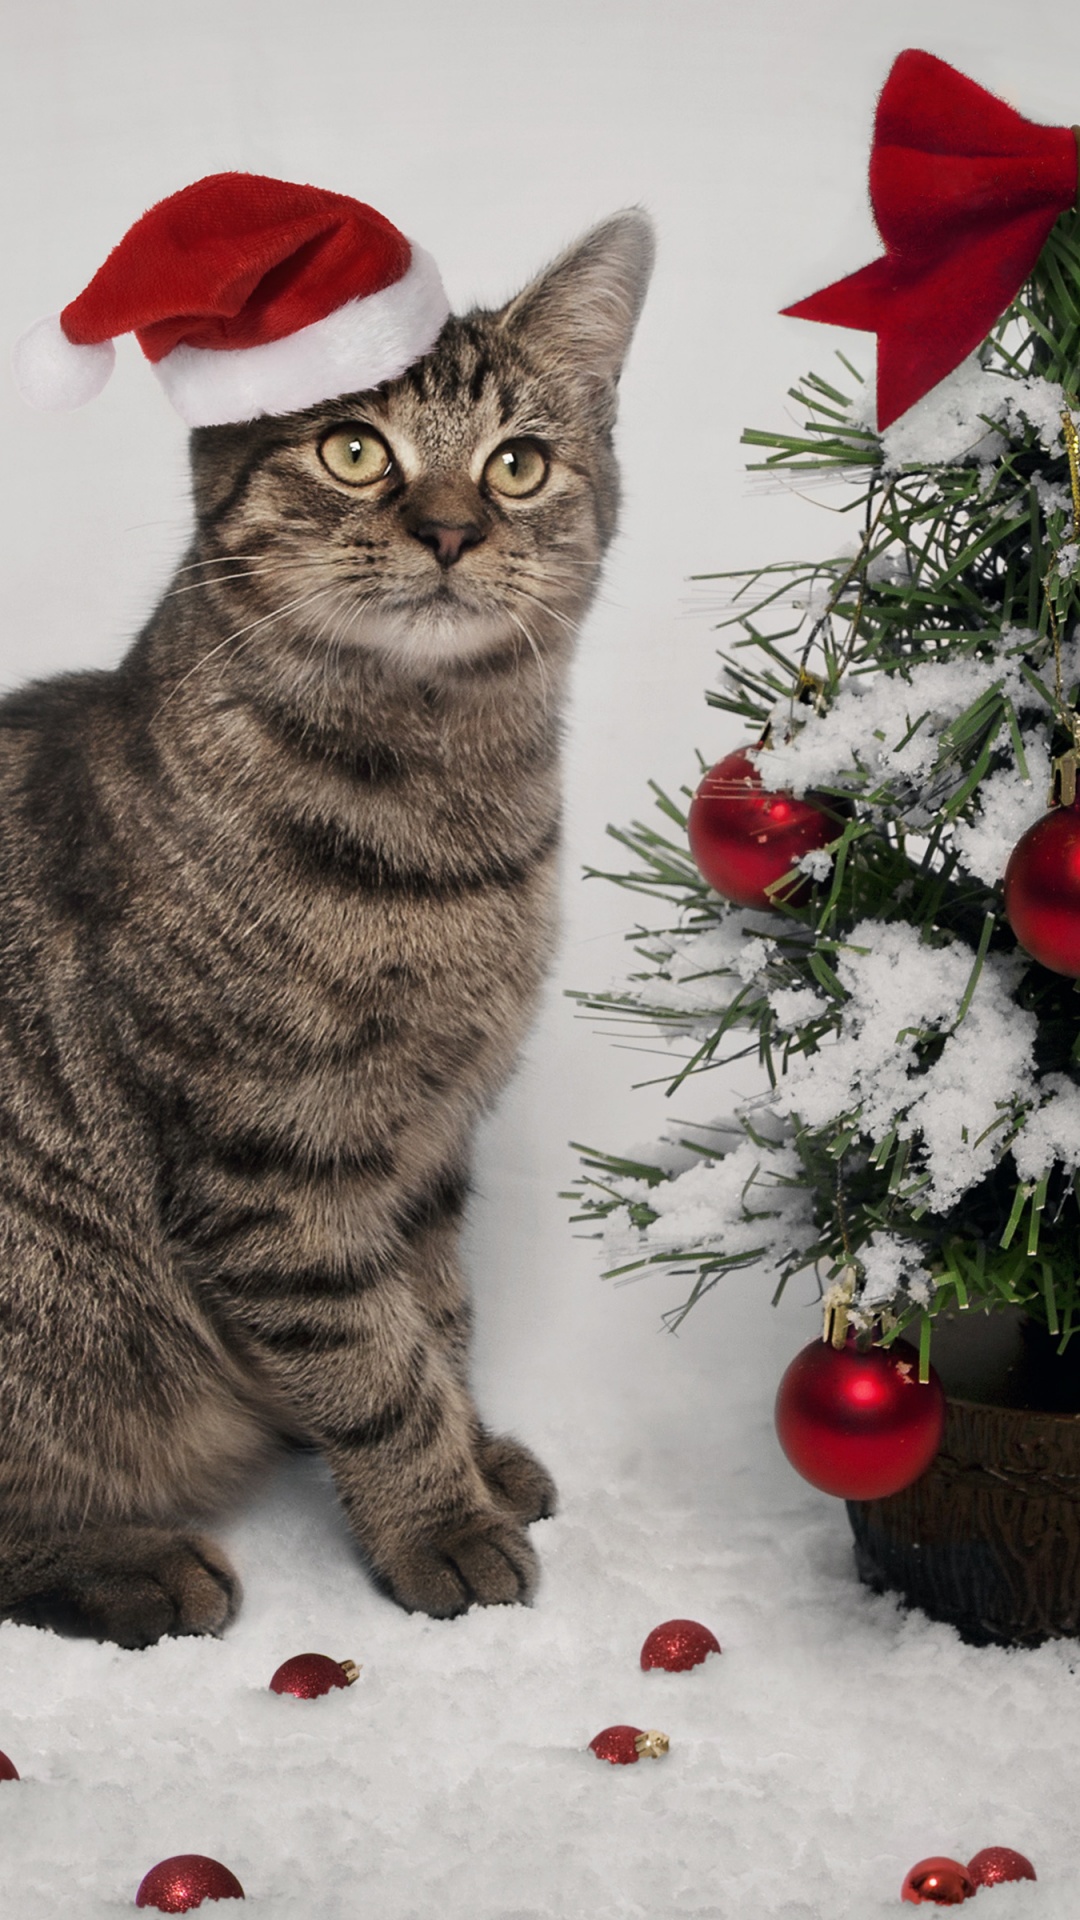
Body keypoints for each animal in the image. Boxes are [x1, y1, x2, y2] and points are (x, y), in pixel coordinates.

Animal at [0, 210, 657, 1651]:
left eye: (518, 464)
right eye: (356, 451)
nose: (454, 528)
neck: (446, 829)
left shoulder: (429, 1146)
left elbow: (439, 1320)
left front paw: (477, 1455)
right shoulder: (270, 1159)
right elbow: (369, 1361)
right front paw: (439, 1521)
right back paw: (133, 1562)